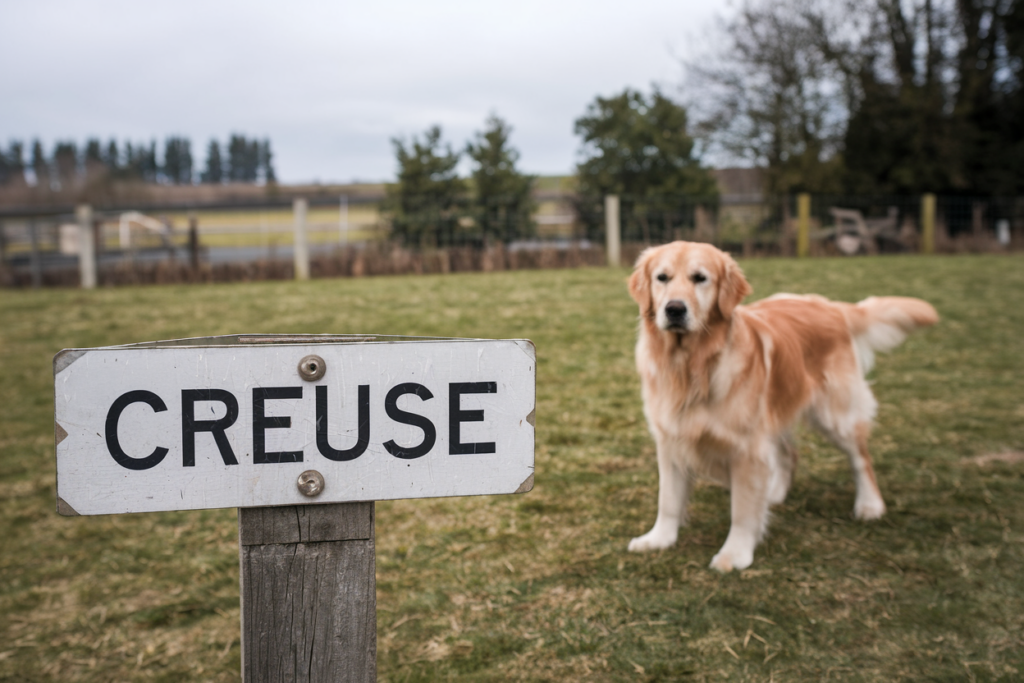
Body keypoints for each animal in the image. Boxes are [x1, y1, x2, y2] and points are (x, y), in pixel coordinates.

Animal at [622, 240, 937, 573]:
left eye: (700, 278)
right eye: (662, 278)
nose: (674, 309)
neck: (691, 366)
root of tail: (828, 305)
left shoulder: (746, 448)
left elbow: (742, 510)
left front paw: (735, 554)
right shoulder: (671, 439)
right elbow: (668, 500)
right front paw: (658, 539)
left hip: (834, 414)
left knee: (860, 457)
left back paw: (870, 504)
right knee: (789, 453)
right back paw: (773, 494)